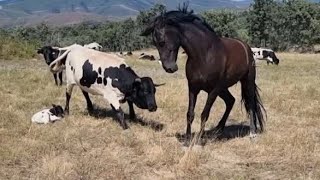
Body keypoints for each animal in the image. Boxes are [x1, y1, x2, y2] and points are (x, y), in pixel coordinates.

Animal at [141, 5, 266, 146]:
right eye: (155, 43)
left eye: (162, 42)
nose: (169, 68)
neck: (204, 55)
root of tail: (246, 47)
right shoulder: (193, 88)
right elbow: (190, 114)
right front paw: (187, 139)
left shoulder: (213, 90)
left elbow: (204, 114)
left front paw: (199, 139)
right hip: (223, 88)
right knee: (231, 101)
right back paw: (218, 129)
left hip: (246, 81)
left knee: (251, 104)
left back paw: (252, 132)